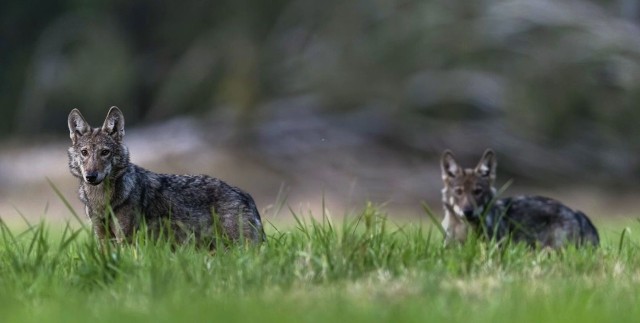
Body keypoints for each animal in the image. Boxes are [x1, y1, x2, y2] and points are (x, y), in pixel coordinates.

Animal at [65, 107, 264, 249]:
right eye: (84, 153)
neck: (101, 200)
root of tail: (245, 195)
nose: (91, 176)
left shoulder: (125, 239)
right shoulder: (103, 239)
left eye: (105, 152)